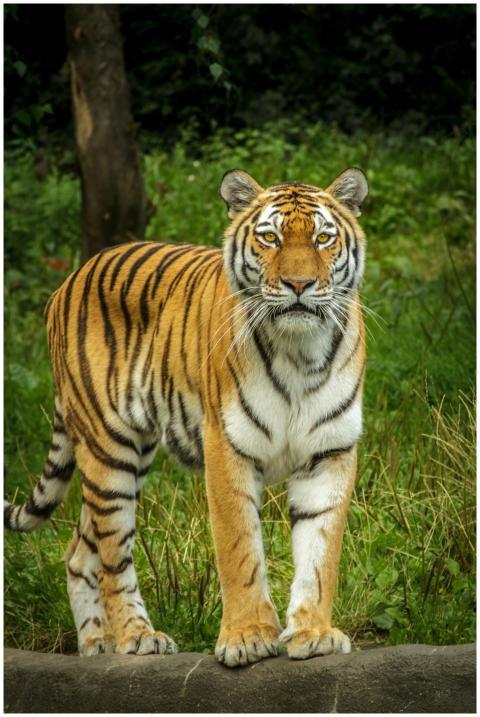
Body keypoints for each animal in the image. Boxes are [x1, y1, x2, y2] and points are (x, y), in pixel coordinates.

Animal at [5, 167, 368, 666]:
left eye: (323, 238)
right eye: (270, 238)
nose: (299, 285)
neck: (300, 351)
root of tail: (69, 279)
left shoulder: (330, 452)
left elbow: (320, 553)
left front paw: (313, 633)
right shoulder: (227, 447)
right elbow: (239, 549)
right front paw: (247, 637)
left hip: (126, 455)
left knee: (80, 551)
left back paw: (96, 644)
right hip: (109, 449)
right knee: (113, 554)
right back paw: (137, 637)